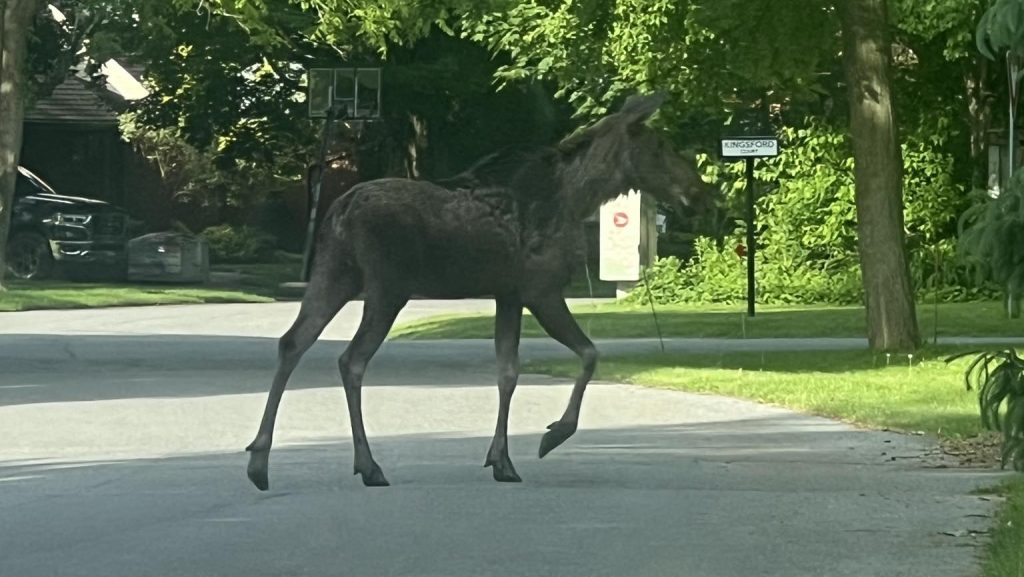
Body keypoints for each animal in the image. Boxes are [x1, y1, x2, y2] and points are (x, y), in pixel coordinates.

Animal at [246, 93, 712, 487]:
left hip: (334, 276)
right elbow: (588, 353)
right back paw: (368, 465)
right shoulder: (540, 289)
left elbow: (508, 371)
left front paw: (500, 460)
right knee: (351, 359)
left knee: (292, 342)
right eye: (660, 146)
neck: (577, 201)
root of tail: (339, 211)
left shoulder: (508, 294)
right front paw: (552, 434)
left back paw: (259, 460)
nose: (697, 190)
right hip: (386, 287)